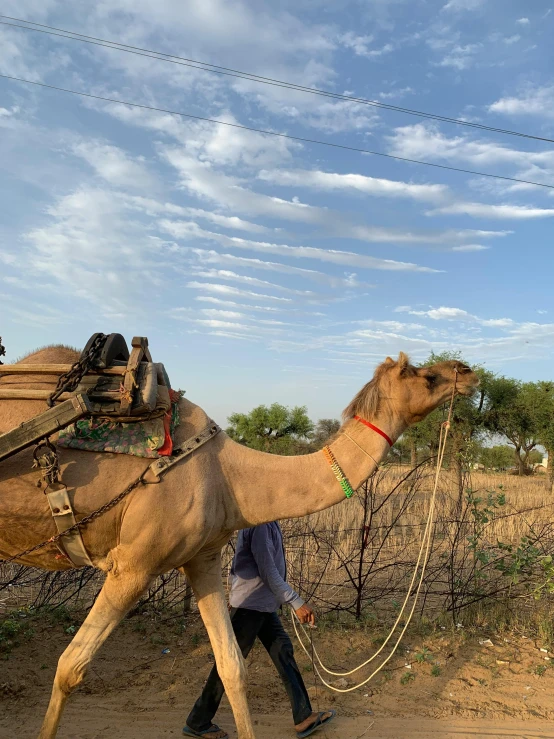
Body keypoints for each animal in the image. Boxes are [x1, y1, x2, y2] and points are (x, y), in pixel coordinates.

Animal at [0, 346, 476, 739]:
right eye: (420, 374)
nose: (466, 370)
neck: (229, 476)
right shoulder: (133, 565)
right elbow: (70, 667)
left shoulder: (203, 558)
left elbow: (232, 667)